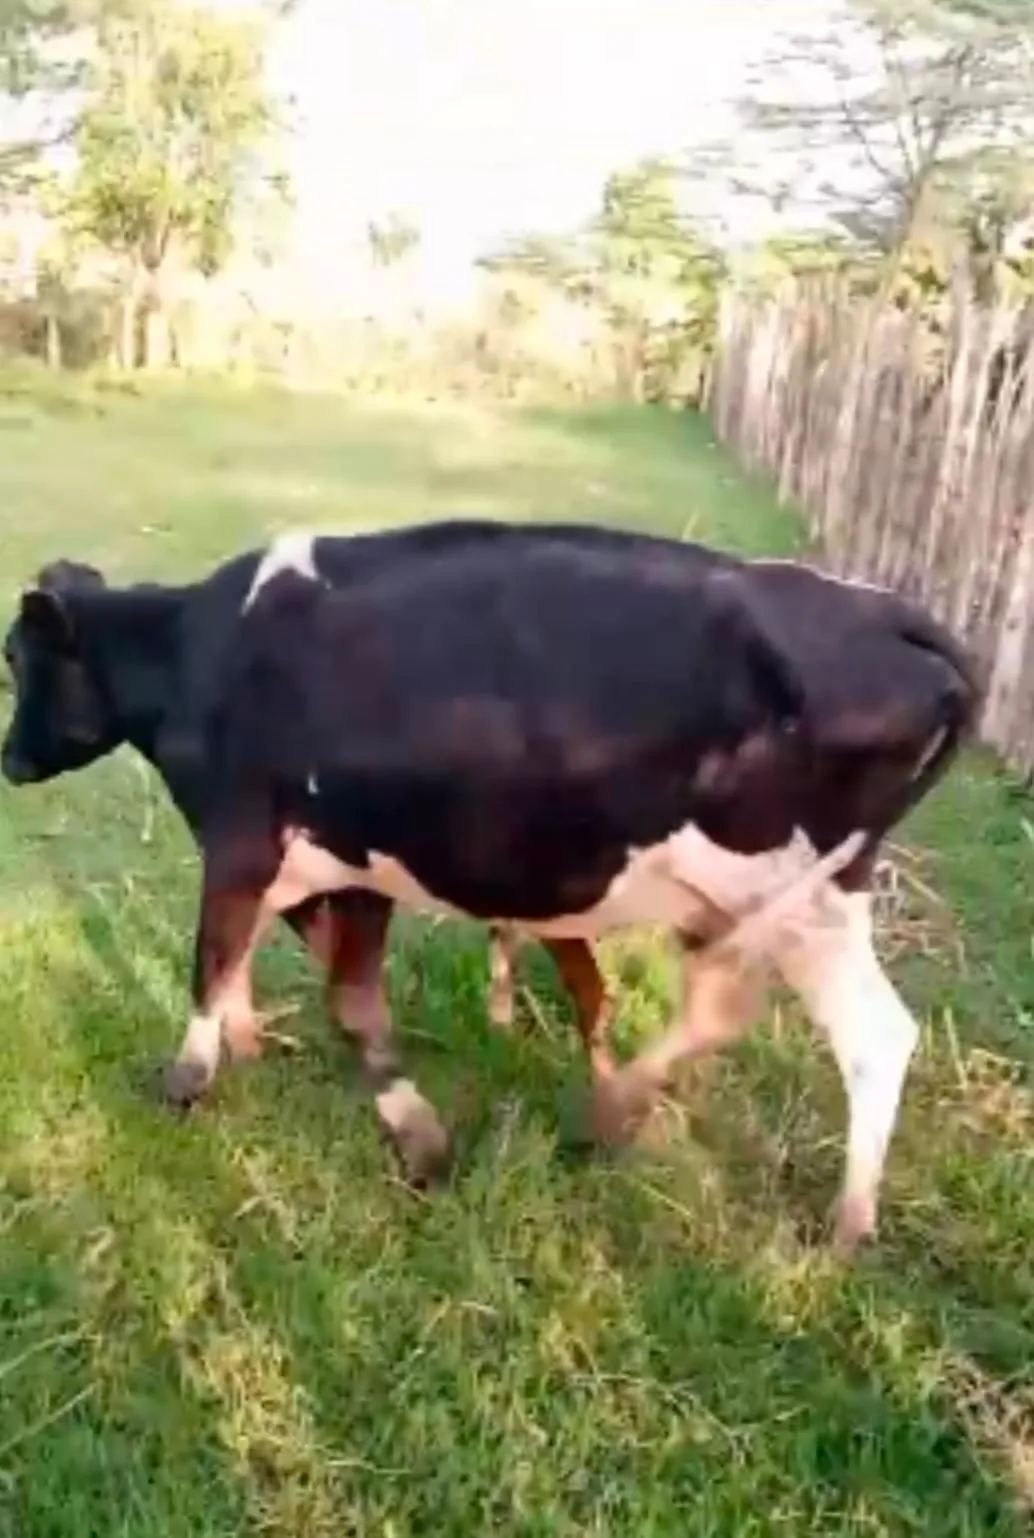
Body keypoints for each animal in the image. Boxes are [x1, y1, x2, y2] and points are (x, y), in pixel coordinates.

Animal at [2, 519, 981, 1253]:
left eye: (21, 662)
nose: (10, 760)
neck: (195, 657)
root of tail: (883, 612)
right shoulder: (348, 866)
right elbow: (330, 987)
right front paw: (272, 1058)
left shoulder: (241, 843)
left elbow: (222, 963)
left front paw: (194, 1081)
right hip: (796, 897)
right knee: (791, 1019)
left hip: (791, 894)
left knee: (845, 1033)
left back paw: (816, 1212)